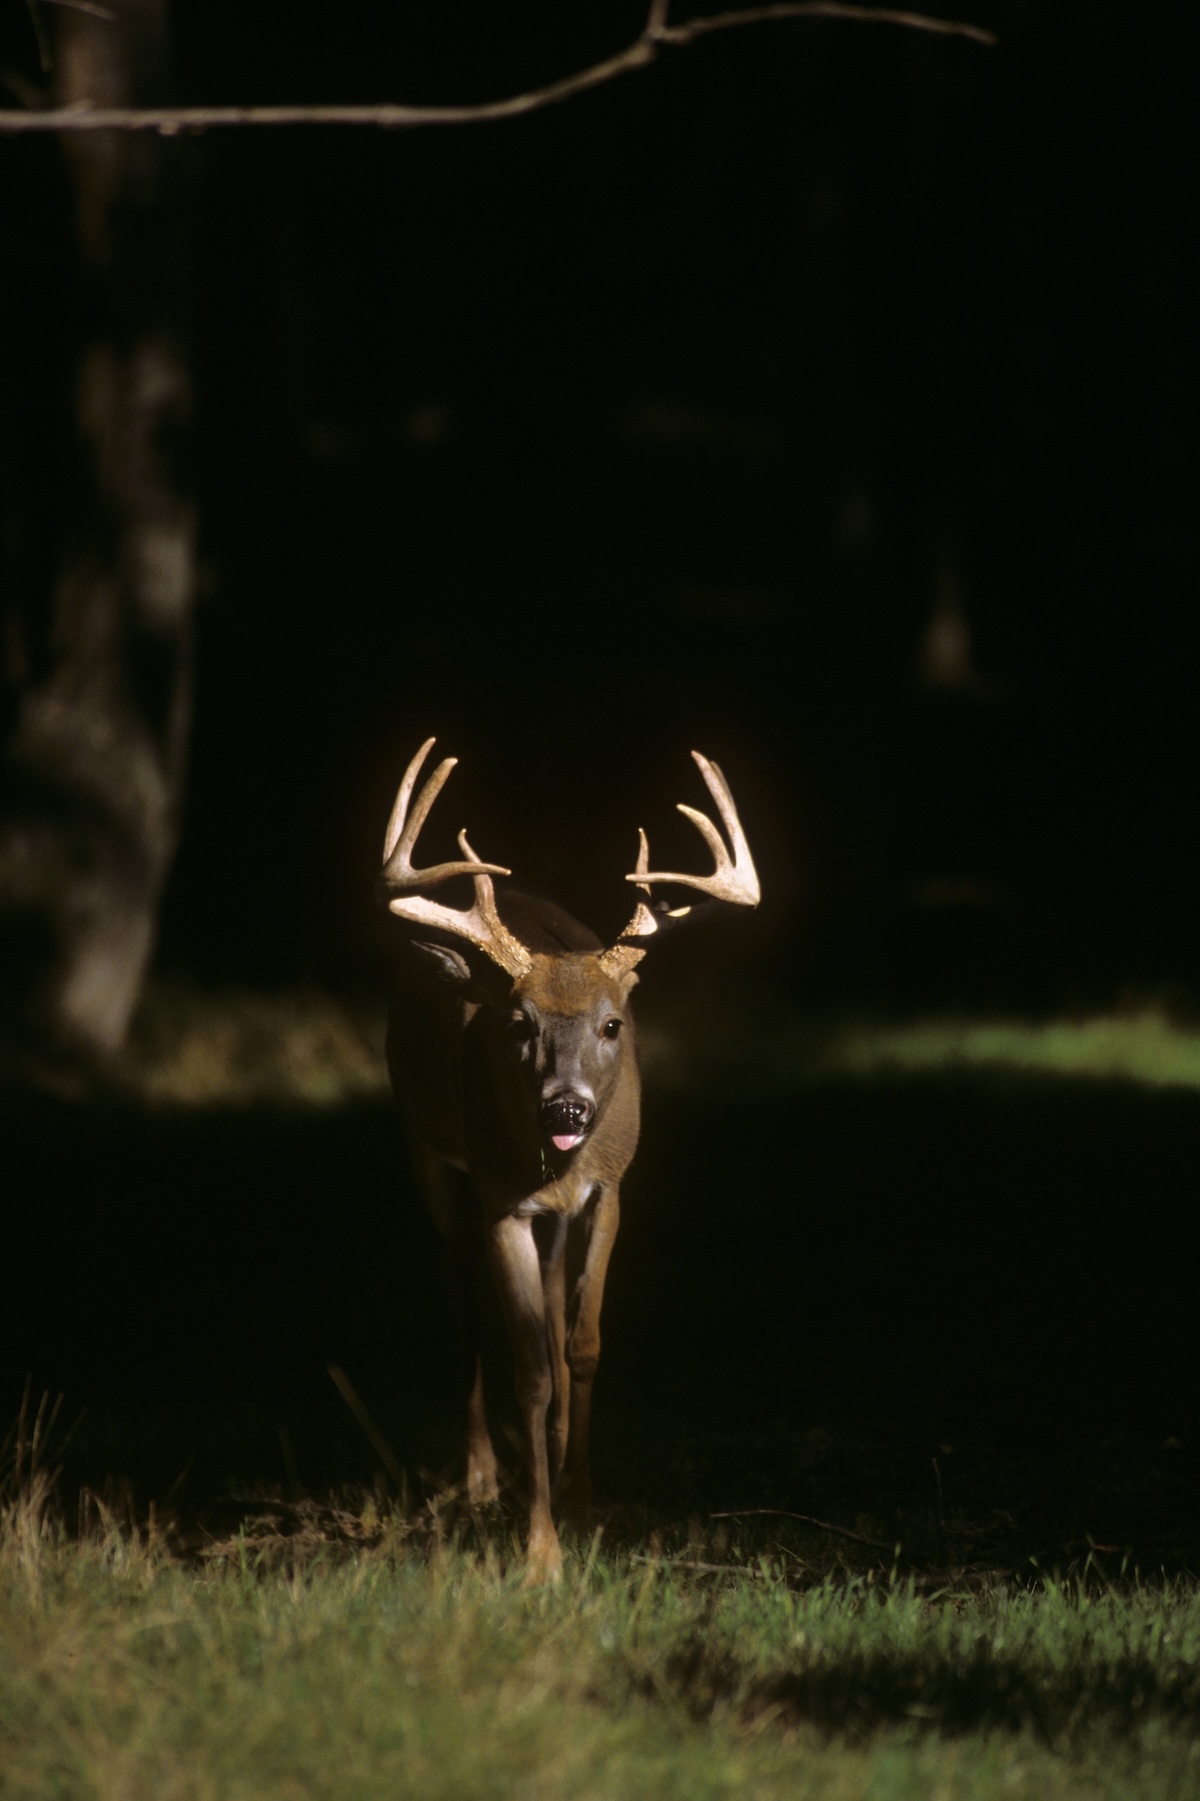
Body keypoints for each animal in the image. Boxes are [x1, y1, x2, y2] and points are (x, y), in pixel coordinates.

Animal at [380, 738, 760, 1583]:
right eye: (517, 1022)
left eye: (613, 1023)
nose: (567, 1110)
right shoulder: (501, 1201)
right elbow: (529, 1366)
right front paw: (541, 1548)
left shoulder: (608, 1188)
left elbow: (580, 1349)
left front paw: (584, 1512)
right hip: (427, 1150)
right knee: (465, 1302)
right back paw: (483, 1476)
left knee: (554, 1315)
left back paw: (546, 1460)